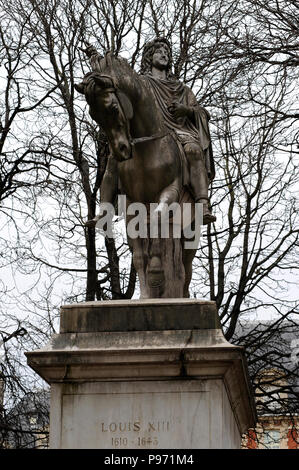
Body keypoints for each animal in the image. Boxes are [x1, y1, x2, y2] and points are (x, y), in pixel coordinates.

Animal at [75, 52, 198, 298]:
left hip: (190, 228)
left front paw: (157, 273)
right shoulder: (132, 205)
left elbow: (157, 223)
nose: (121, 150)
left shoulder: (170, 191)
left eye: (113, 107)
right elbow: (140, 257)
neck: (147, 149)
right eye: (94, 115)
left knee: (186, 266)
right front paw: (148, 293)